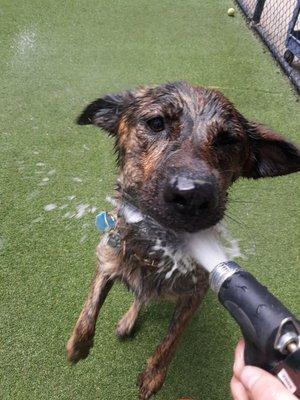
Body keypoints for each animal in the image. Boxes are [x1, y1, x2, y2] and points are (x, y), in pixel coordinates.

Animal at [67, 82, 300, 400]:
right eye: (156, 123)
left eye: (228, 141)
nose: (193, 195)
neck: (157, 250)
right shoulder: (108, 256)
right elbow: (90, 308)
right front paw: (78, 346)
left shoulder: (195, 292)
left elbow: (171, 340)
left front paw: (153, 376)